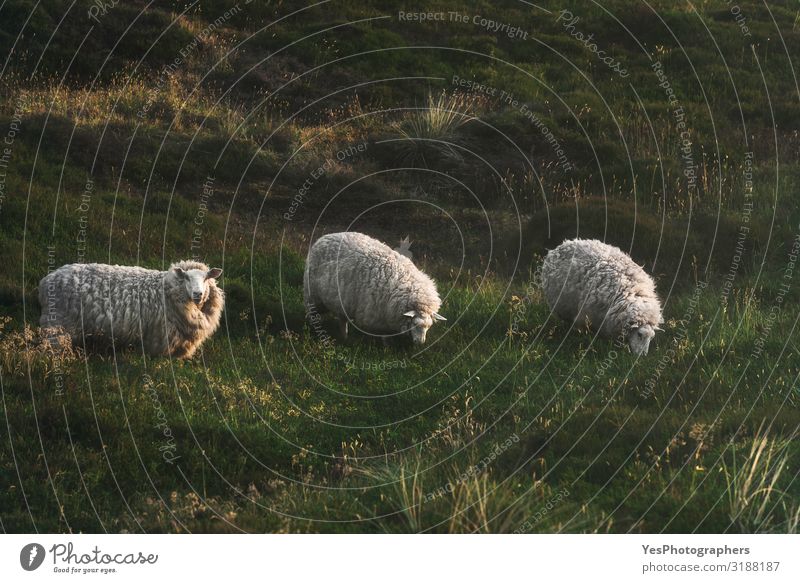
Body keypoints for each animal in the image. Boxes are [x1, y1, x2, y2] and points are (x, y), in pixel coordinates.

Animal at [38, 262, 225, 360]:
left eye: (206, 278)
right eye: (186, 278)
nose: (197, 294)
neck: (168, 289)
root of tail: (47, 280)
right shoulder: (159, 339)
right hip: (58, 324)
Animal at [304, 230, 446, 344]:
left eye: (429, 326)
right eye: (415, 324)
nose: (420, 343)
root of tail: (324, 237)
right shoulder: (379, 318)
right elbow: (384, 336)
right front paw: (386, 347)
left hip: (342, 301)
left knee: (342, 319)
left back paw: (344, 336)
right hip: (313, 295)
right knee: (312, 313)